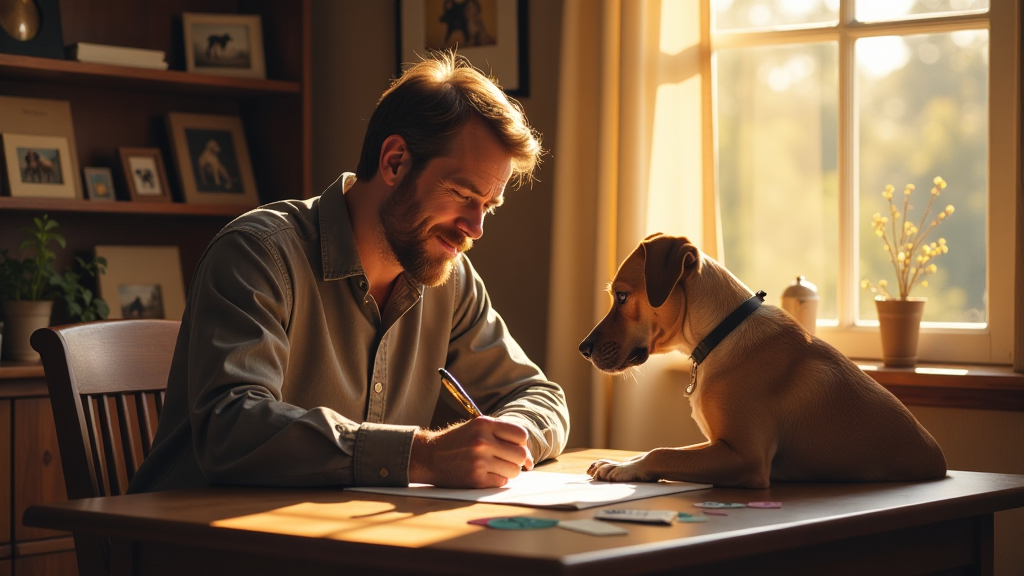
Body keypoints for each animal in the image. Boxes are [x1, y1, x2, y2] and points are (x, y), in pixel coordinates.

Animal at [581, 230, 946, 485]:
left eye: (622, 296)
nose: (582, 348)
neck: (722, 332)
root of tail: (940, 463)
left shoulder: (746, 456)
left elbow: (662, 453)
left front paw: (627, 469)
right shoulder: (719, 443)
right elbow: (664, 449)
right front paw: (621, 462)